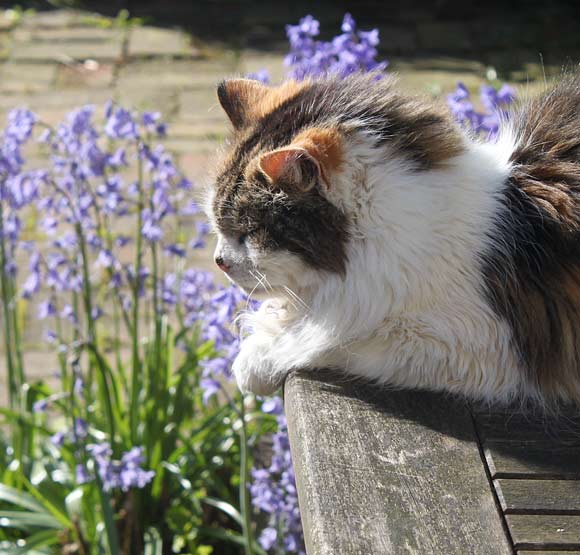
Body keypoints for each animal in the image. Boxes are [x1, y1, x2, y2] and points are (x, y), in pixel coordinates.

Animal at [206, 71, 580, 406]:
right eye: (218, 225)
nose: (219, 261)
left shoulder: (480, 347)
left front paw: (256, 357)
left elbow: (329, 338)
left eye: (249, 232)